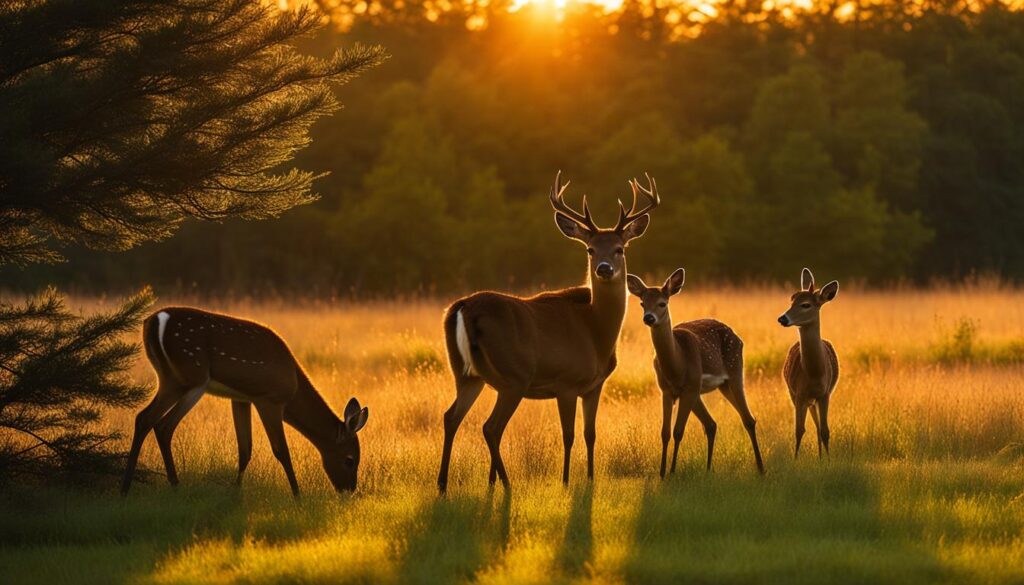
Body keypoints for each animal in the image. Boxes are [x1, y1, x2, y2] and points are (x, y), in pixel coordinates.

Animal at [120, 309, 368, 495]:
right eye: (350, 459)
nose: (348, 490)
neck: (293, 387)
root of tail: (153, 322)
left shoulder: (241, 398)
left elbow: (245, 449)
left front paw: (236, 493)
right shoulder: (269, 399)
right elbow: (281, 450)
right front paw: (298, 496)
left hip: (176, 378)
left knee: (152, 421)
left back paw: (146, 486)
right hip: (188, 377)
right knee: (157, 422)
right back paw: (153, 486)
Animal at [436, 172, 659, 491]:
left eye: (620, 248)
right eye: (590, 249)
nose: (604, 268)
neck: (596, 331)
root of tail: (463, 307)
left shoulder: (594, 386)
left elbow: (591, 434)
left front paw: (590, 478)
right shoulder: (566, 382)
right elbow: (569, 435)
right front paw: (565, 481)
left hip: (468, 375)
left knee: (451, 417)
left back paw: (444, 485)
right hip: (514, 376)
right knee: (491, 427)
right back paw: (507, 485)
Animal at [622, 268, 761, 475]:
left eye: (662, 303)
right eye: (642, 303)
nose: (648, 317)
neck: (677, 365)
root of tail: (737, 335)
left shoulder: (689, 388)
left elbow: (678, 431)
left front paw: (672, 471)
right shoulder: (666, 390)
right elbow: (665, 432)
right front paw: (661, 473)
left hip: (734, 370)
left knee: (748, 419)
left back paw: (761, 468)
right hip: (715, 387)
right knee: (712, 424)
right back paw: (708, 469)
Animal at [774, 268, 839, 456]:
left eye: (805, 305)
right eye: (792, 299)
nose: (782, 318)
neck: (814, 373)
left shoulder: (825, 393)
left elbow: (825, 430)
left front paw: (828, 459)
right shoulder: (799, 393)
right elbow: (799, 430)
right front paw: (795, 459)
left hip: (816, 398)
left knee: (818, 426)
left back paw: (821, 456)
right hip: (796, 395)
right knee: (812, 424)